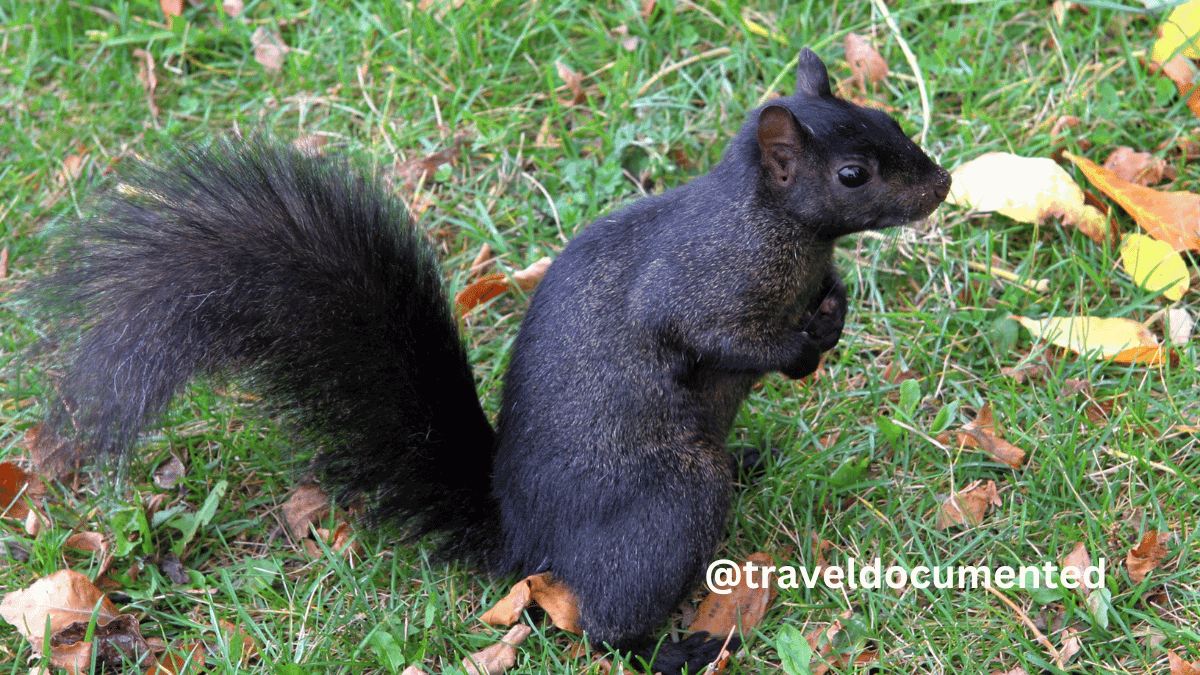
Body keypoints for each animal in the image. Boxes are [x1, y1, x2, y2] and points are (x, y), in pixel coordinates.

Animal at [30, 49, 950, 674]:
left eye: (892, 119)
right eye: (854, 173)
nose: (940, 184)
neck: (778, 229)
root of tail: (526, 540)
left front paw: (834, 310)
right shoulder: (699, 285)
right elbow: (722, 338)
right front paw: (804, 339)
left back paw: (749, 458)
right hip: (671, 499)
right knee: (606, 624)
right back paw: (671, 646)